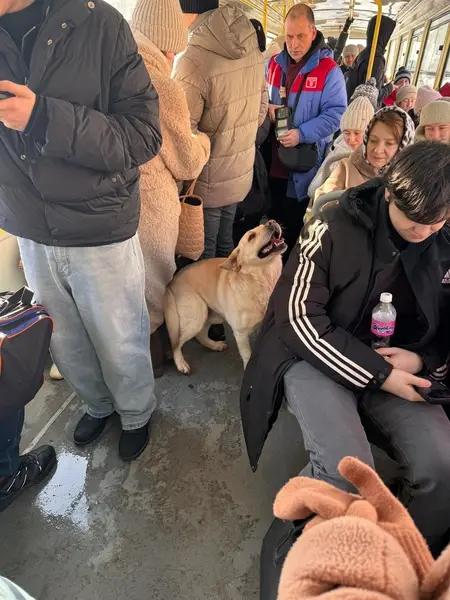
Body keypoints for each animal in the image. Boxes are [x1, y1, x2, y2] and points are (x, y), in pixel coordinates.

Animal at [164, 220, 287, 374]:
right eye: (251, 236)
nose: (272, 222)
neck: (261, 280)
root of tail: (172, 281)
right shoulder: (240, 333)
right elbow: (247, 355)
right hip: (197, 316)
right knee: (176, 343)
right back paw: (181, 363)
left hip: (213, 315)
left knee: (201, 334)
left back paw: (214, 345)